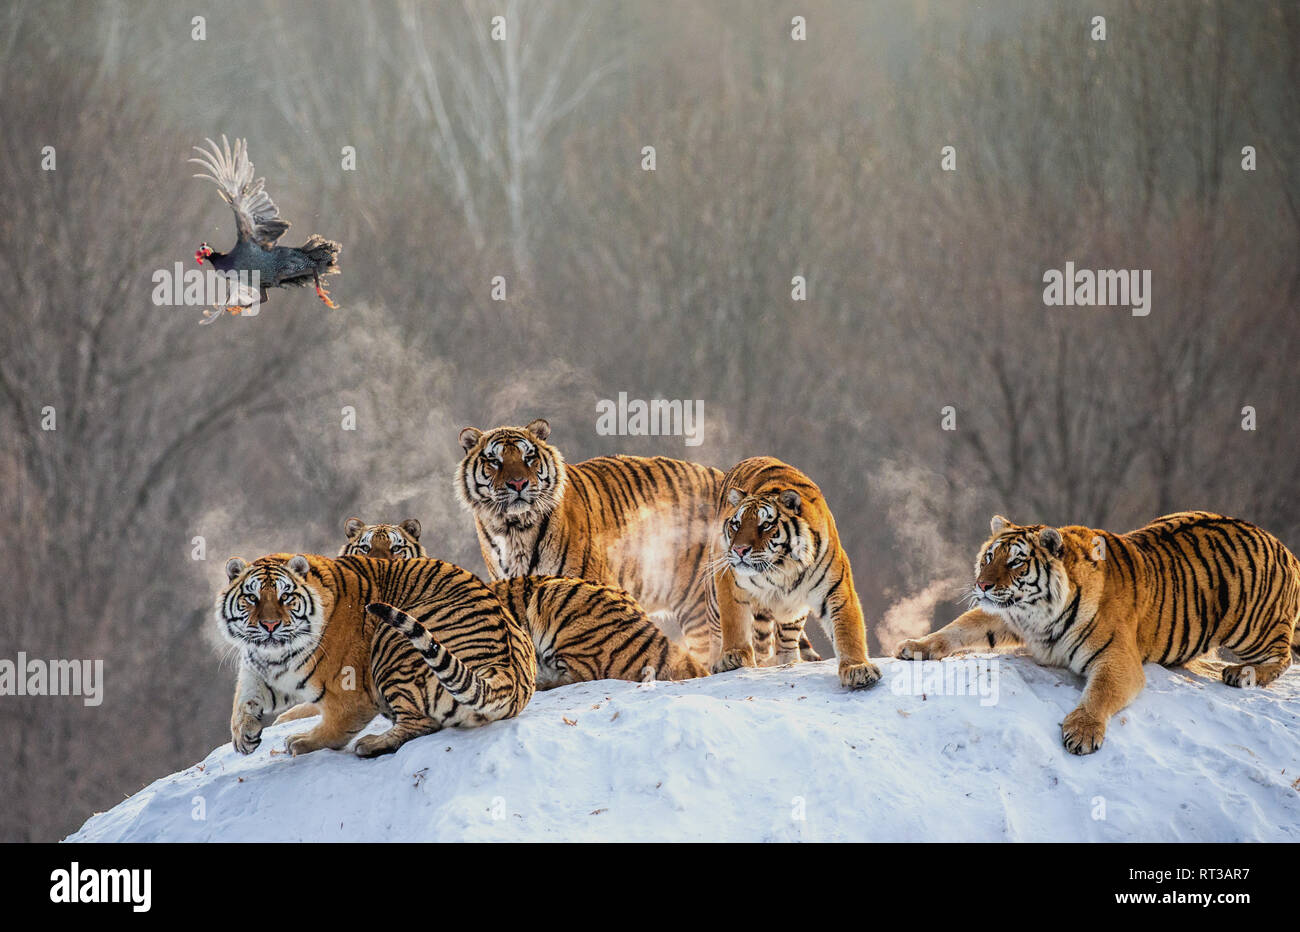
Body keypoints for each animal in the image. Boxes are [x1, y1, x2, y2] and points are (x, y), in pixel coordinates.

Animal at [215, 553, 535, 753]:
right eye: (251, 597)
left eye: (286, 597)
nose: (270, 625)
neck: (276, 655)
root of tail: (507, 671)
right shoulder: (260, 668)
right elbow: (244, 699)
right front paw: (243, 736)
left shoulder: (350, 694)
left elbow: (336, 725)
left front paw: (301, 742)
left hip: (391, 642)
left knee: (421, 722)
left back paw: (371, 744)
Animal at [712, 454, 883, 686]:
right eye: (736, 524)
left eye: (765, 525)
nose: (739, 550)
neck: (780, 568)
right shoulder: (730, 580)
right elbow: (734, 620)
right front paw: (733, 656)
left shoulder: (835, 588)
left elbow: (848, 629)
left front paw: (858, 668)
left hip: (793, 612)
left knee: (786, 640)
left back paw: (790, 662)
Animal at [894, 512, 1300, 753]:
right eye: (989, 557)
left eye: (1016, 562)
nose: (982, 585)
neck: (1036, 614)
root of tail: (1283, 546)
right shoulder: (1004, 617)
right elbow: (959, 627)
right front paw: (915, 646)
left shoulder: (1117, 659)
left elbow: (1099, 693)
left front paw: (1083, 732)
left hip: (1251, 627)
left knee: (1281, 655)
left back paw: (1243, 674)